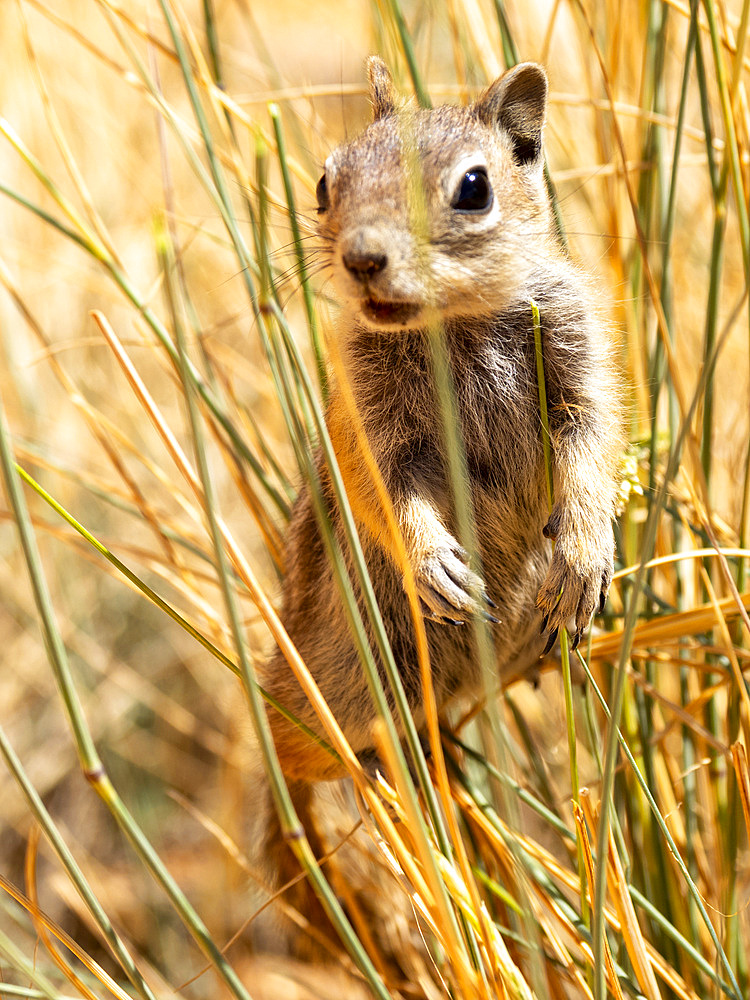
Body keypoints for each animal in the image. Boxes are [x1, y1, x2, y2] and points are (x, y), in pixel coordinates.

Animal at [262, 58, 624, 784]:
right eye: (324, 183)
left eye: (474, 188)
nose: (362, 259)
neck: (454, 324)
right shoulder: (365, 418)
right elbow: (382, 490)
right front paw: (433, 565)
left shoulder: (579, 359)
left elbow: (592, 446)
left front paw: (582, 555)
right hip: (337, 689)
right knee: (297, 747)